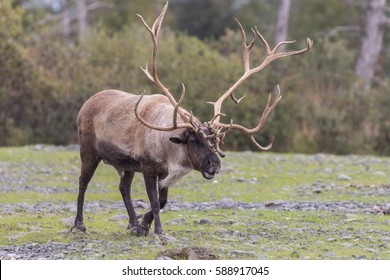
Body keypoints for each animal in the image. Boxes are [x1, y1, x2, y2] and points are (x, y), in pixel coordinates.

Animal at [71, 2, 312, 238]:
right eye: (194, 140)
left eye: (216, 142)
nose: (214, 164)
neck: (169, 150)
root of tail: (86, 103)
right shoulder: (148, 168)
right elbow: (155, 202)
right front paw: (158, 231)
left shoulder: (162, 173)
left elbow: (164, 201)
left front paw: (144, 225)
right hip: (88, 150)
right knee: (83, 182)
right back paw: (79, 225)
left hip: (126, 164)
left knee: (123, 188)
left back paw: (132, 224)